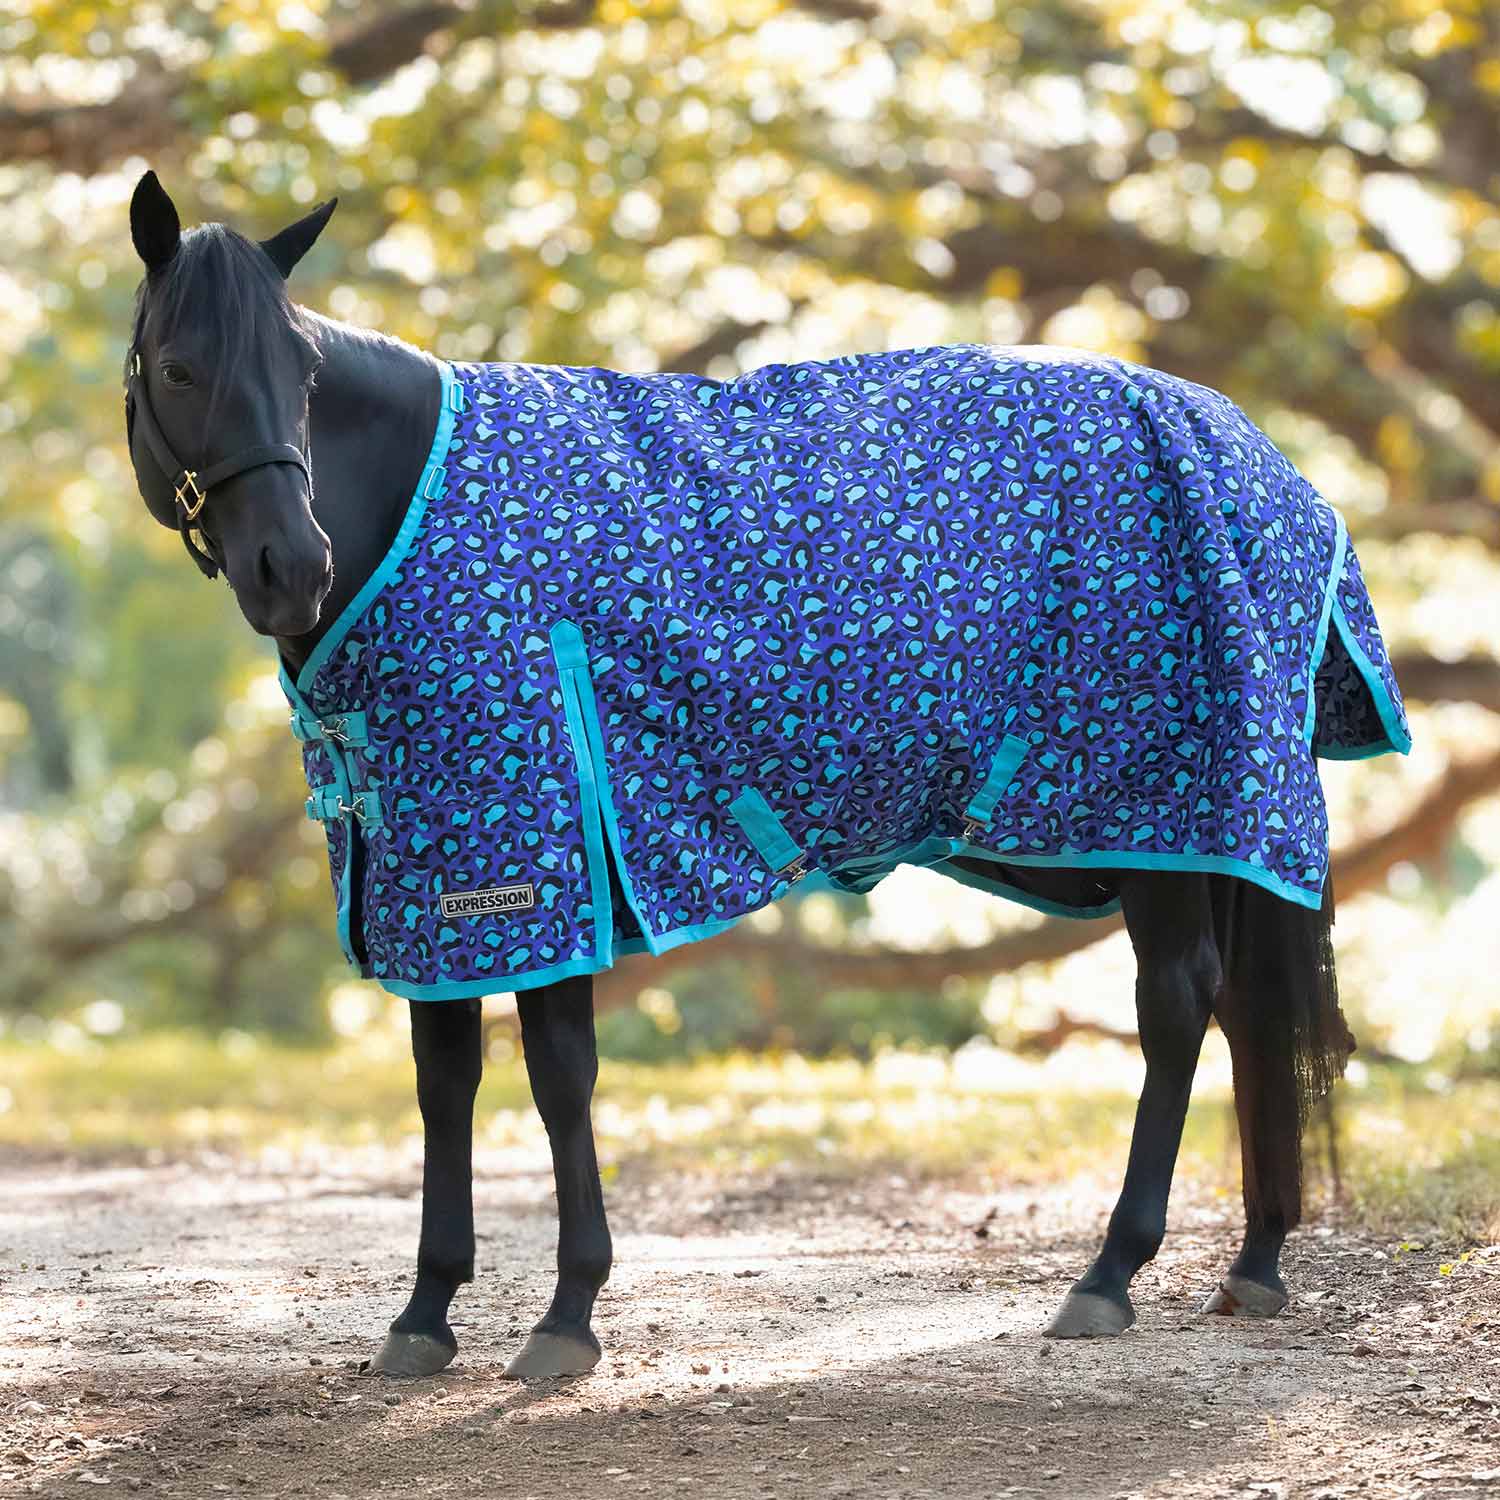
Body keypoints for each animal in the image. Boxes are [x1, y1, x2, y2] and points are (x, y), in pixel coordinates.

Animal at [121, 172, 1408, 1380]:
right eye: (178, 368)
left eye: (301, 371)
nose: (292, 566)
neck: (411, 507)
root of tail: (1253, 449)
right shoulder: (432, 881)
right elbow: (446, 1081)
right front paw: (426, 1312)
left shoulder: (540, 858)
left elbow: (559, 1076)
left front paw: (567, 1314)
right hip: (1194, 829)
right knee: (1243, 1011)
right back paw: (1253, 1262)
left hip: (1158, 813)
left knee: (1178, 1004)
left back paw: (1111, 1274)